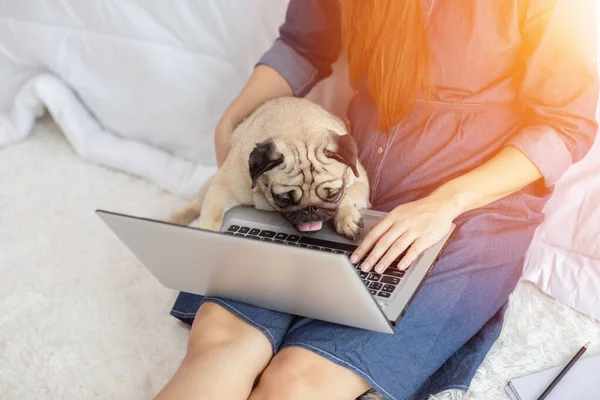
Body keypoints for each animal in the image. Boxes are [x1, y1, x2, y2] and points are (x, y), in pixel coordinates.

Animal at [169, 97, 370, 241]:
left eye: (333, 194)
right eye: (284, 199)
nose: (310, 209)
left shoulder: (361, 183)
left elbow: (347, 196)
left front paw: (346, 218)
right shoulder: (223, 186)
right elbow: (213, 215)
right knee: (195, 206)